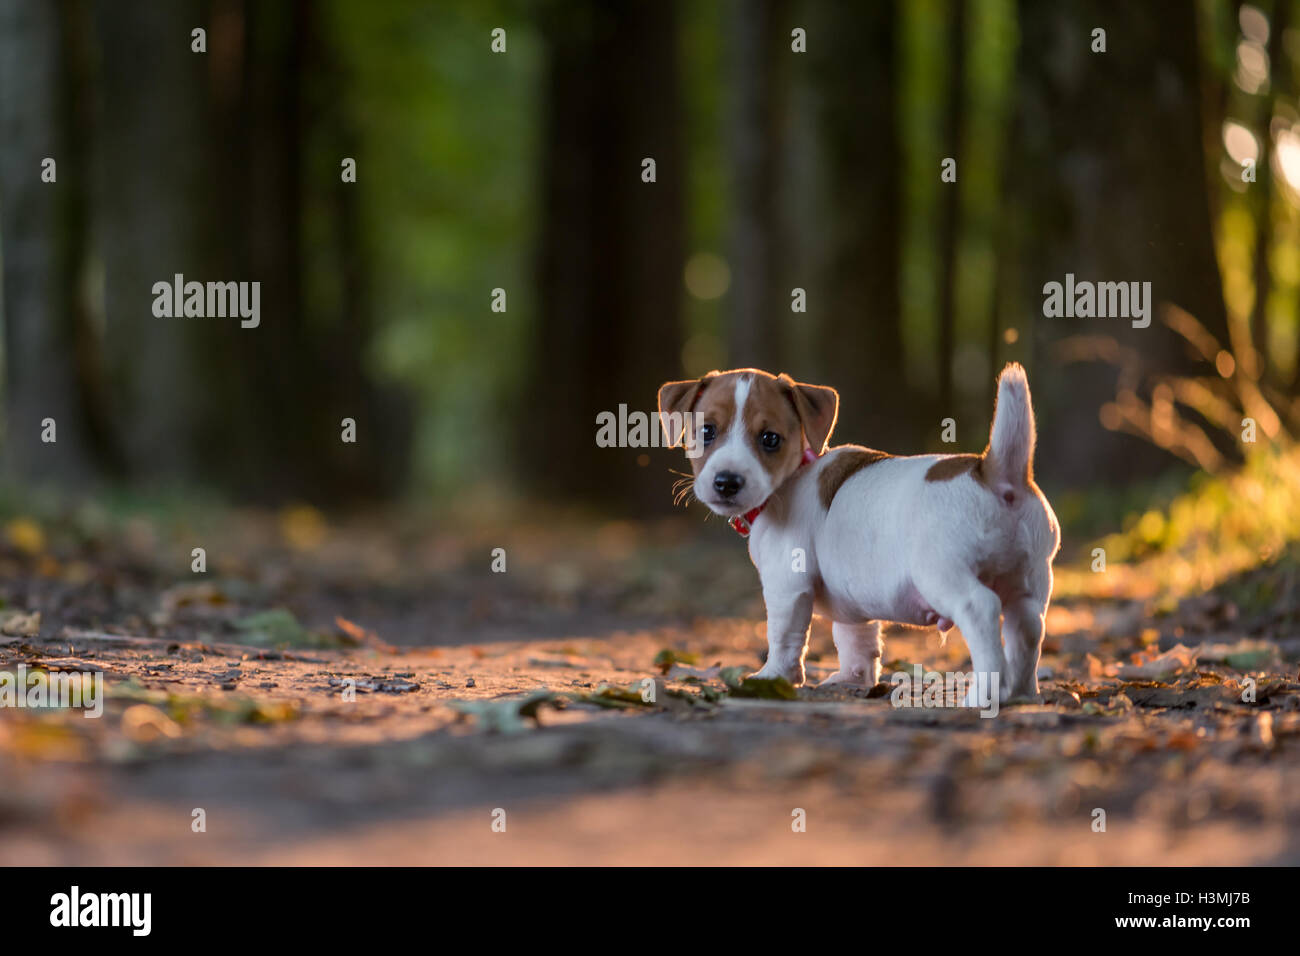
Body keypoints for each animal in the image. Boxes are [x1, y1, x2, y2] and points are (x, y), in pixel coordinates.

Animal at [655, 361, 1060, 707]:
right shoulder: (853, 607)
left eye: (770, 439)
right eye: (706, 431)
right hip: (1029, 581)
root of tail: (995, 474)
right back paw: (1022, 692)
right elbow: (856, 640)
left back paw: (985, 695)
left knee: (982, 609)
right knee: (1027, 628)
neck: (793, 477)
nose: (727, 482)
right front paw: (854, 678)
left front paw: (773, 676)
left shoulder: (787, 585)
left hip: (944, 576)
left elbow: (784, 637)